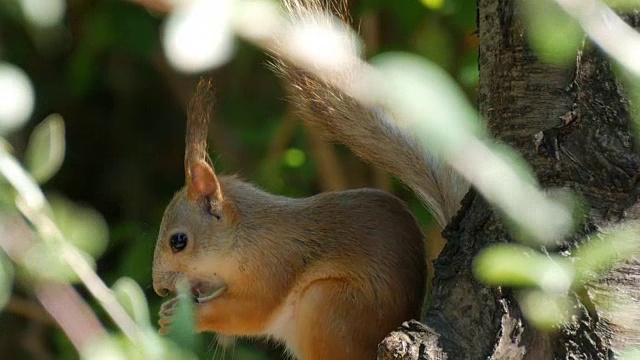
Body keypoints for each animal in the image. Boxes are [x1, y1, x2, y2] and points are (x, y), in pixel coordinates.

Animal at [152, 1, 468, 358]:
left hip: (328, 304)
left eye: (179, 241)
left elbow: (253, 313)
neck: (247, 238)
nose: (159, 288)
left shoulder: (276, 266)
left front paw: (185, 316)